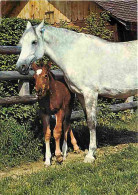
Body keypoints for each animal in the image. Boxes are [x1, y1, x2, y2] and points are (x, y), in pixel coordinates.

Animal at [15, 20, 137, 163]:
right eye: (21, 42)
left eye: (34, 42)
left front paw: (90, 155)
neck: (75, 54)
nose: (20, 67)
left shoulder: (90, 93)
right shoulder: (80, 94)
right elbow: (82, 121)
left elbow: (91, 122)